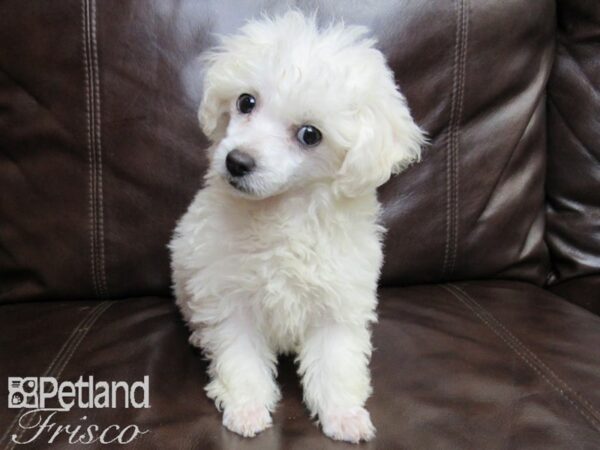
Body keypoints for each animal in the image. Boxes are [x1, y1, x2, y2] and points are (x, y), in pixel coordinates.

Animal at [169, 10, 422, 442]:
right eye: (246, 102)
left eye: (309, 135)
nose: (237, 162)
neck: (281, 213)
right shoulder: (229, 297)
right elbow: (240, 355)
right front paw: (247, 408)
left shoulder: (338, 302)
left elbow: (336, 361)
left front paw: (343, 414)